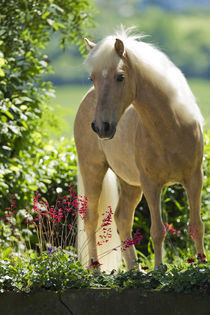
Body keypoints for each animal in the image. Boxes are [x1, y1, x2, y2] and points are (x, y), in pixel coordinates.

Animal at [74, 28, 206, 272]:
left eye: (120, 76)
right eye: (92, 78)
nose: (101, 127)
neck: (172, 128)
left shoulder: (194, 179)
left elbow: (196, 225)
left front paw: (201, 265)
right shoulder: (151, 185)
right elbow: (158, 231)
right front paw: (159, 271)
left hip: (129, 184)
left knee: (122, 217)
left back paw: (135, 271)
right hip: (93, 170)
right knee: (91, 218)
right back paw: (97, 270)